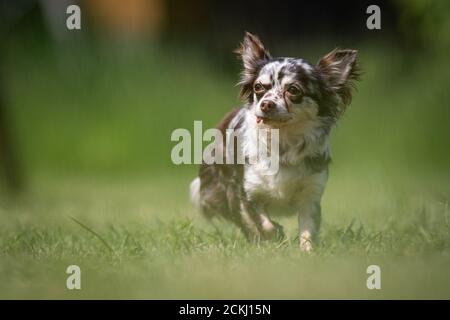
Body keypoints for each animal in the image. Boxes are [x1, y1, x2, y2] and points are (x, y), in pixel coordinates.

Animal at [189, 33, 358, 252]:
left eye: (293, 90)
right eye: (258, 87)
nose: (266, 104)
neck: (282, 142)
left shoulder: (310, 195)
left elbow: (308, 229)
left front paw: (308, 252)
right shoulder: (247, 192)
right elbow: (262, 223)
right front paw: (276, 234)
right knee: (245, 223)